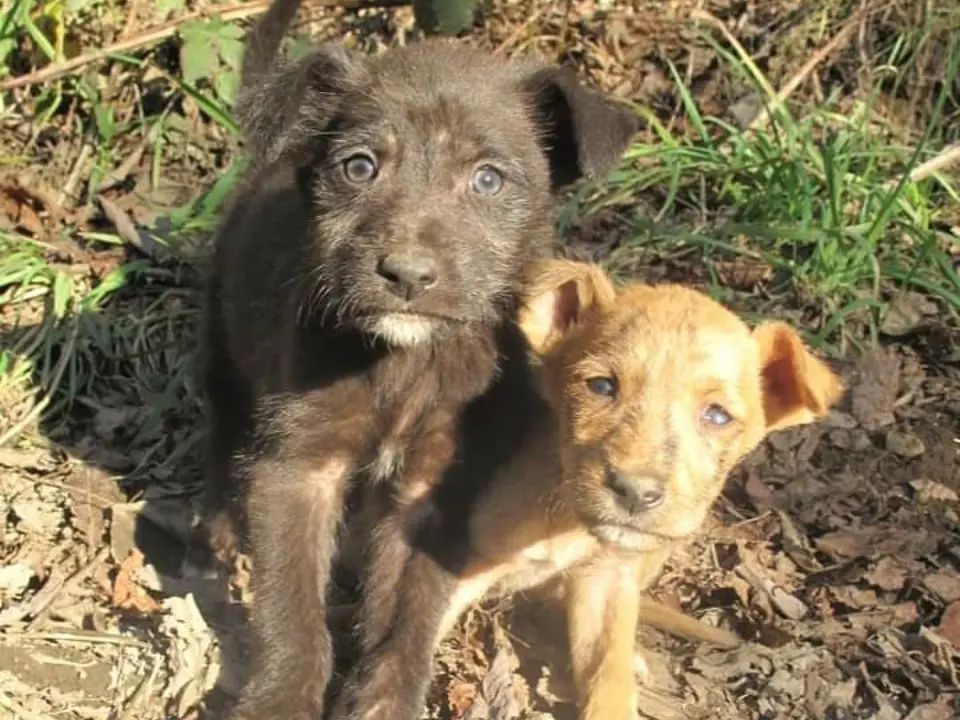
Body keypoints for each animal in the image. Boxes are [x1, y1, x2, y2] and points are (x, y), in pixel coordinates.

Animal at [197, 1, 636, 720]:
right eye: (359, 167)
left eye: (487, 179)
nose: (406, 275)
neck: (404, 362)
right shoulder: (300, 467)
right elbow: (291, 612)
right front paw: (281, 698)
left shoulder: (435, 485)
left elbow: (409, 612)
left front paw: (385, 697)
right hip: (224, 332)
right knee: (224, 421)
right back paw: (219, 525)